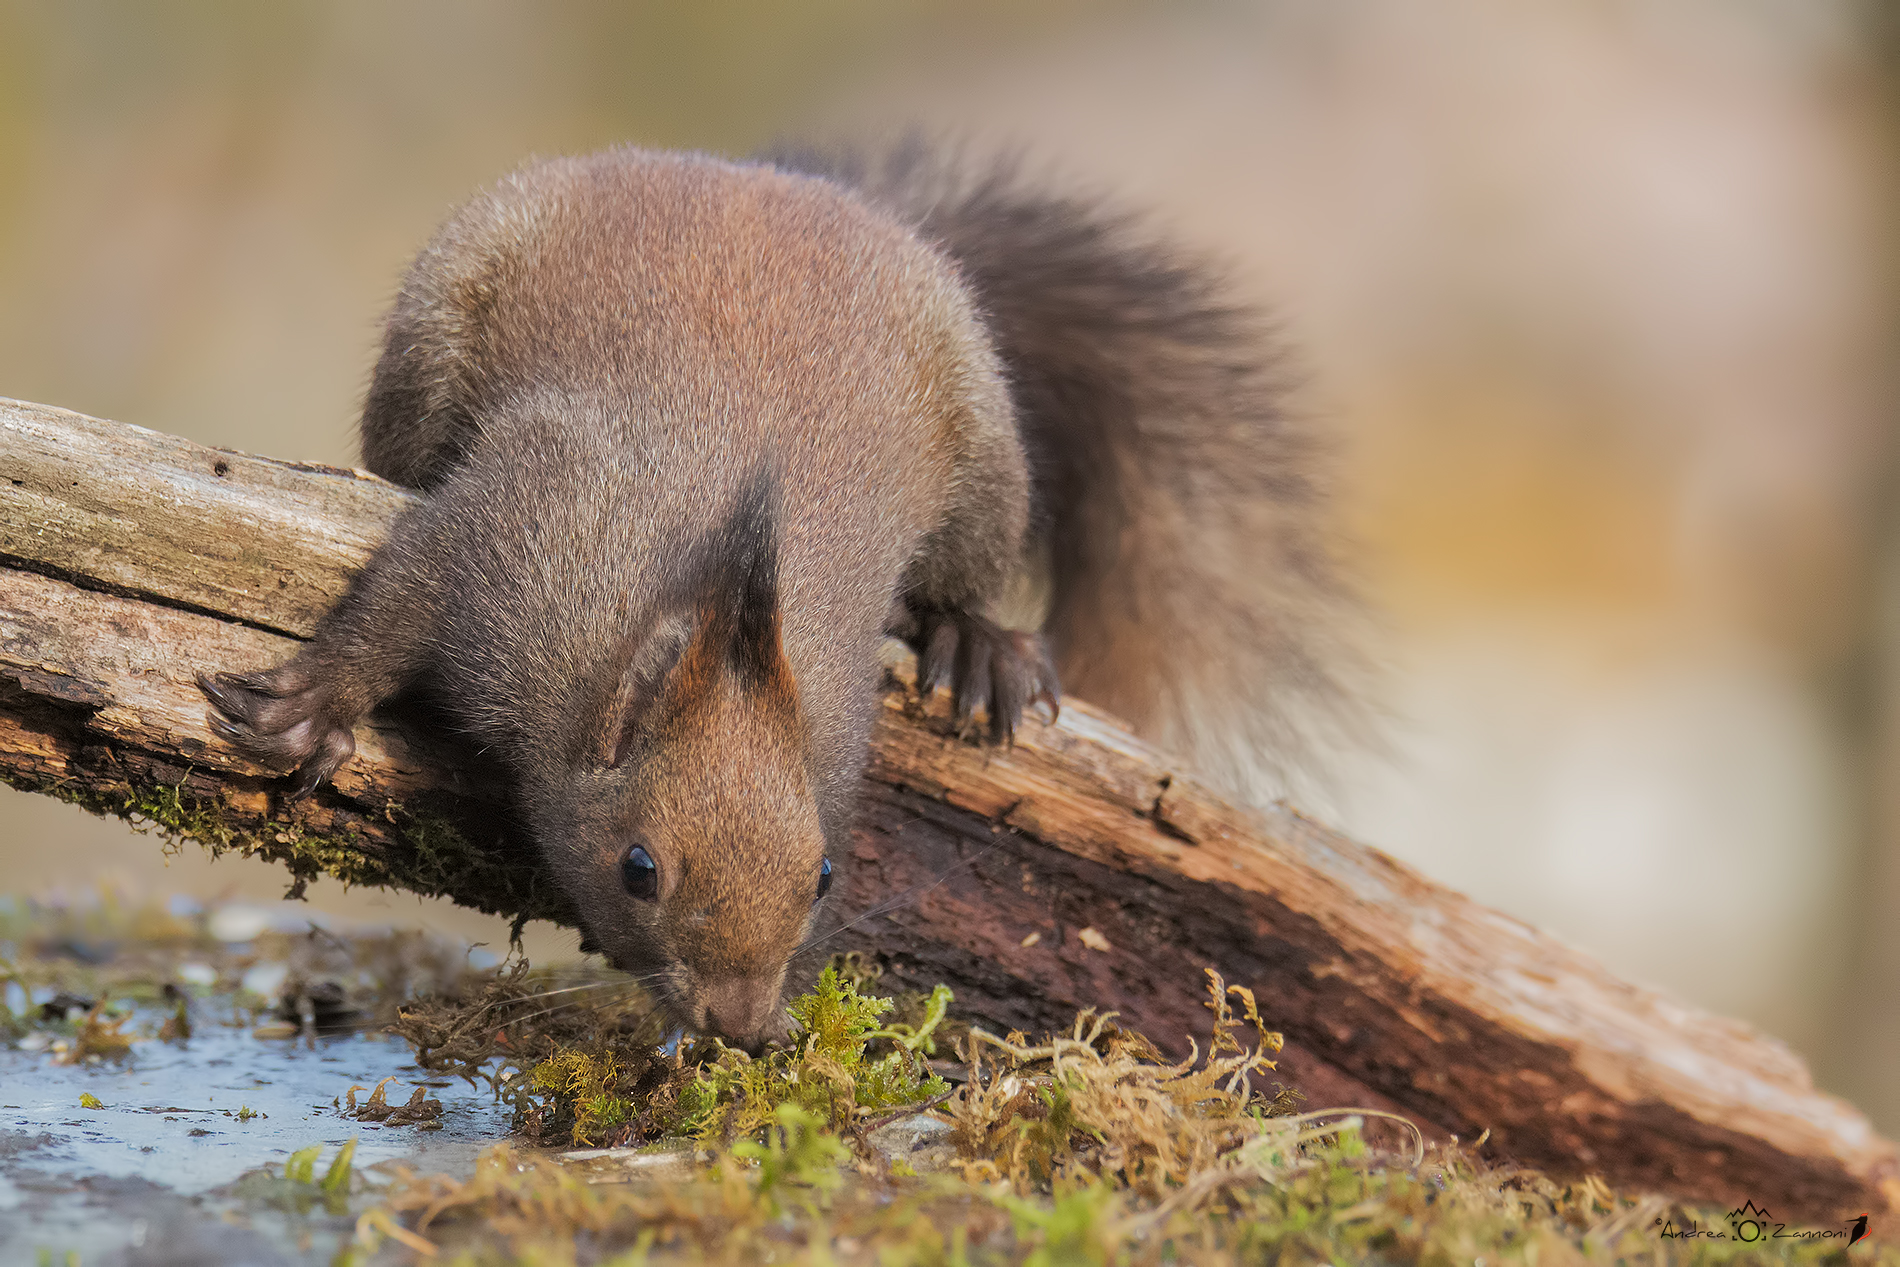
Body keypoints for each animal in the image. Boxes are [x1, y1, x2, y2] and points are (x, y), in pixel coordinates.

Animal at [198, 141, 1361, 1048]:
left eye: (826, 877)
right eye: (637, 868)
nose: (743, 1028)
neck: (696, 618)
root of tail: (748, 173)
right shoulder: (512, 528)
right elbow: (397, 601)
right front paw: (310, 710)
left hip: (989, 464)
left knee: (970, 570)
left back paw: (978, 644)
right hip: (429, 344)